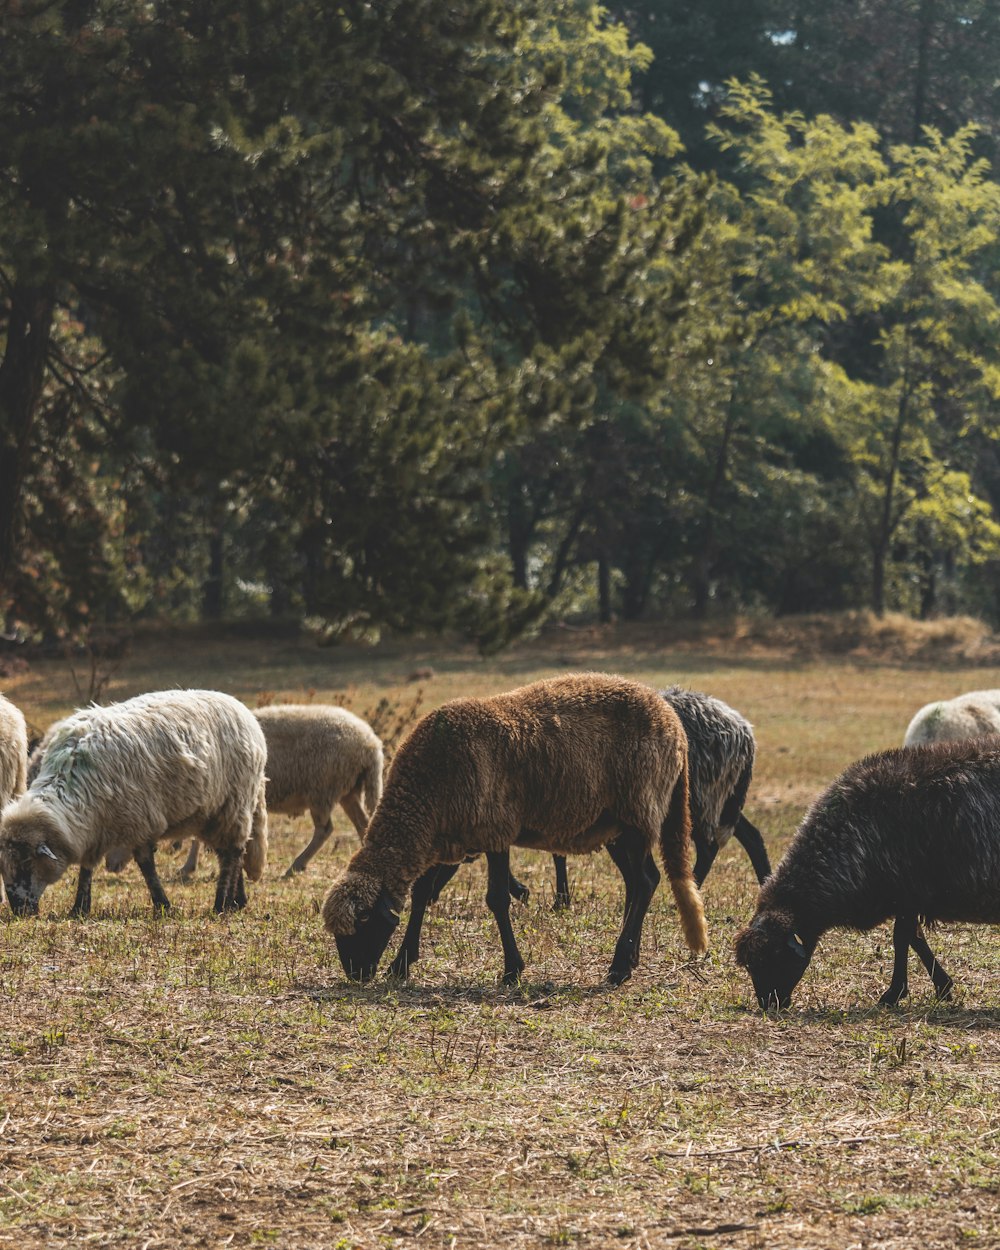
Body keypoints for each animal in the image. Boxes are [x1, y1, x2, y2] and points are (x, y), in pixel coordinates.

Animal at [0, 685, 265, 920]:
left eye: (26, 864)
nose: (19, 910)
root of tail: (241, 708)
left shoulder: (140, 821)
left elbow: (146, 866)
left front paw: (162, 905)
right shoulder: (94, 828)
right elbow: (87, 867)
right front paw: (79, 908)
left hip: (234, 804)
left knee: (233, 853)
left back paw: (221, 904)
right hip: (212, 814)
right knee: (228, 852)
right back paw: (237, 900)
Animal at [177, 705, 385, 880]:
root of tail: (371, 744)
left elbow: (196, 837)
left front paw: (188, 866)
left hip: (322, 787)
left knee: (325, 829)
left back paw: (296, 865)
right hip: (347, 791)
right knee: (363, 823)